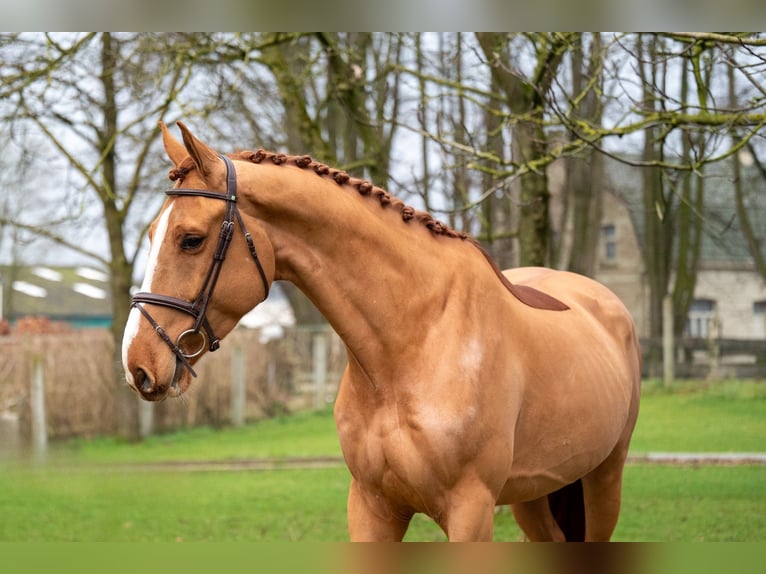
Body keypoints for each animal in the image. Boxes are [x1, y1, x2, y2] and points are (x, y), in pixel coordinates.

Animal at [123, 122, 644, 544]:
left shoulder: (471, 510)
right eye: (150, 235)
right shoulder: (372, 506)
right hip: (535, 494)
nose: (137, 365)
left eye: (191, 240)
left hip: (604, 480)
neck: (412, 344)